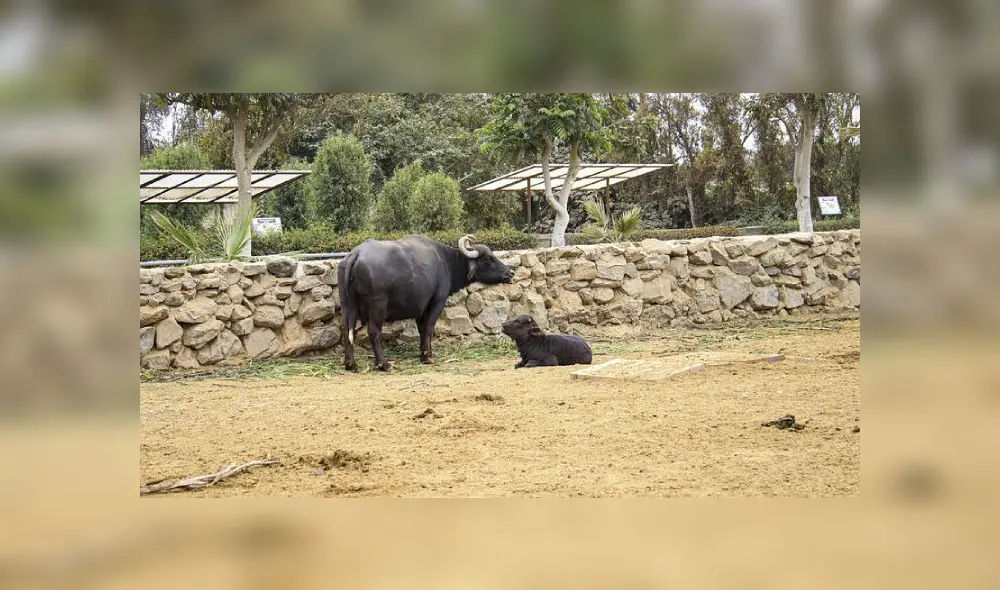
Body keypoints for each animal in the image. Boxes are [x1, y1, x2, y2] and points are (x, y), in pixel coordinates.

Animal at [338, 234, 515, 371]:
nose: (511, 272)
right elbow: (429, 327)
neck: (446, 261)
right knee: (374, 331)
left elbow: (422, 329)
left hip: (348, 305)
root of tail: (356, 253)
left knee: (346, 329)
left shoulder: (420, 308)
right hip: (378, 306)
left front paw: (423, 354)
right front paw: (428, 356)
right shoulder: (437, 301)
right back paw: (384, 364)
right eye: (489, 258)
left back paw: (350, 364)